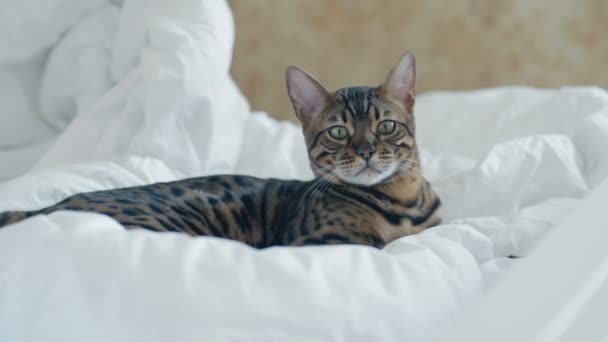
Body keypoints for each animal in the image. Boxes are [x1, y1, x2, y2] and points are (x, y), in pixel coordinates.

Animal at [0, 50, 442, 248]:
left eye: (386, 126)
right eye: (337, 132)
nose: (366, 150)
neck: (402, 202)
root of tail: (43, 209)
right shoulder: (321, 244)